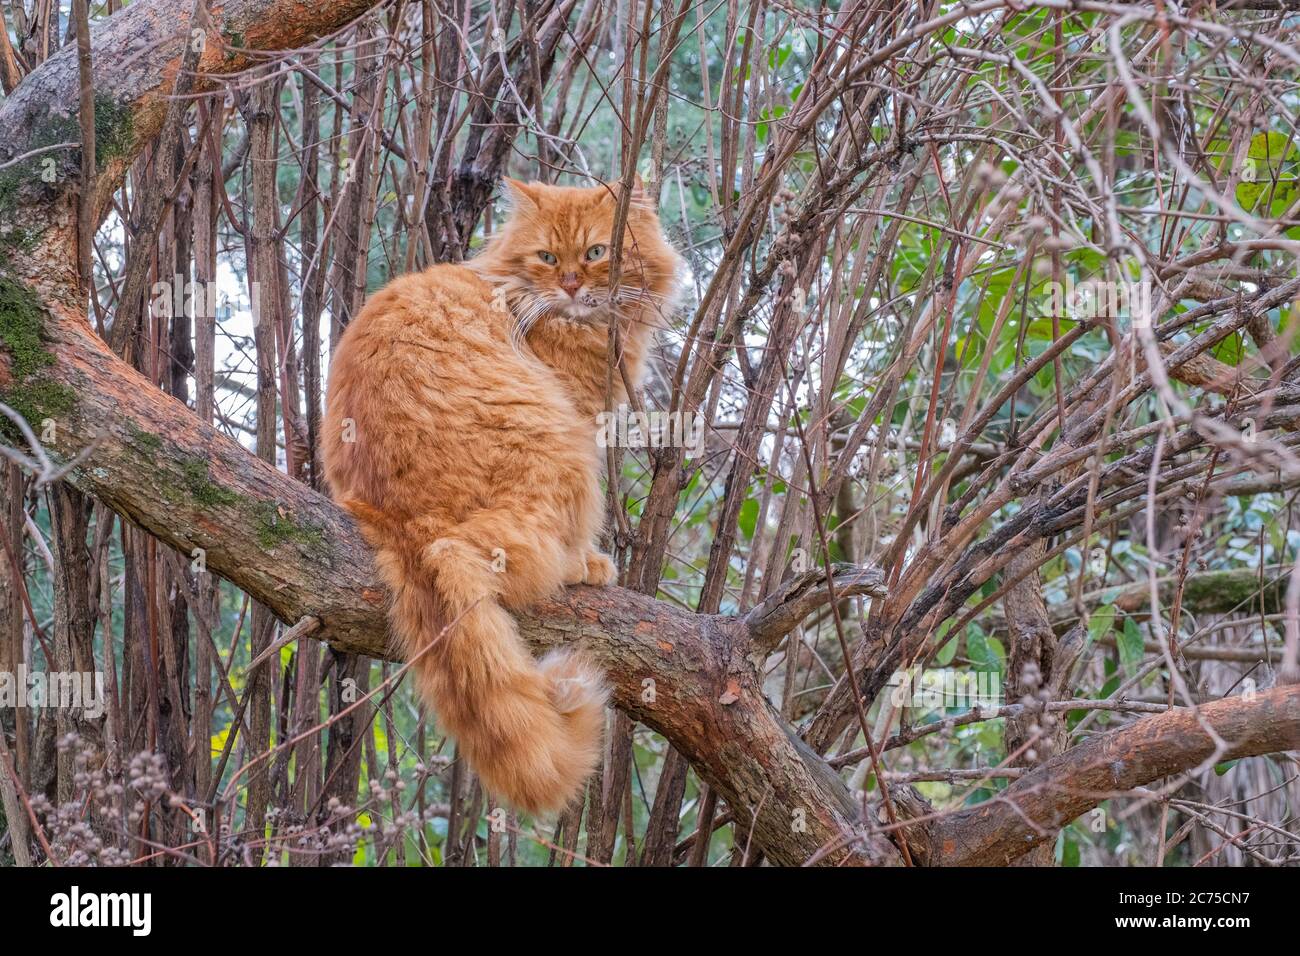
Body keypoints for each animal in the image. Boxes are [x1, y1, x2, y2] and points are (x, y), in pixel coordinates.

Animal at [321, 179, 681, 816]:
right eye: (547, 257)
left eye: (595, 253)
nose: (571, 285)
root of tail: (400, 519)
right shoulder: (581, 420)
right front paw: (591, 559)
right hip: (555, 444)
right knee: (491, 550)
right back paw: (577, 566)